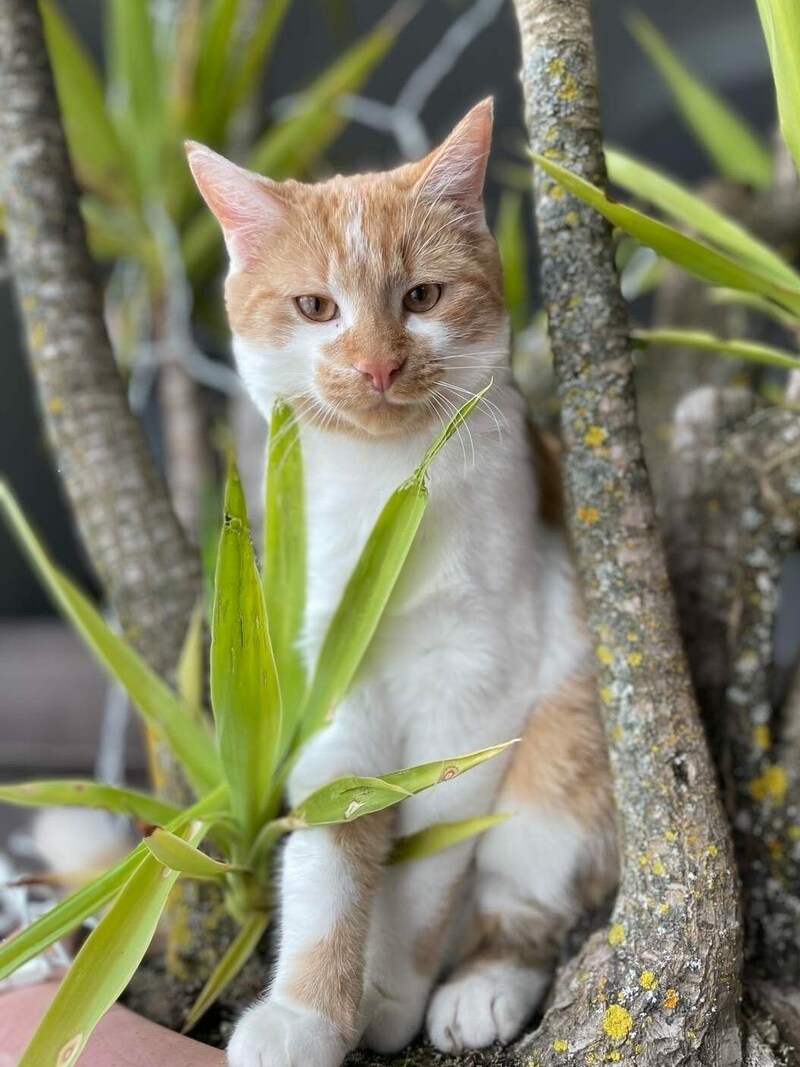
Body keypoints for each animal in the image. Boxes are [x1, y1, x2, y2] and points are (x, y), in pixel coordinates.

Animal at [187, 96, 618, 1062]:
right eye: (316, 307)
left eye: (421, 296)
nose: (378, 364)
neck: (387, 485)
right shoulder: (330, 689)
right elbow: (330, 854)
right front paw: (305, 1013)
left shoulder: (476, 689)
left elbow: (426, 861)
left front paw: (387, 992)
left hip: (563, 757)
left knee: (522, 903)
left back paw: (479, 989)